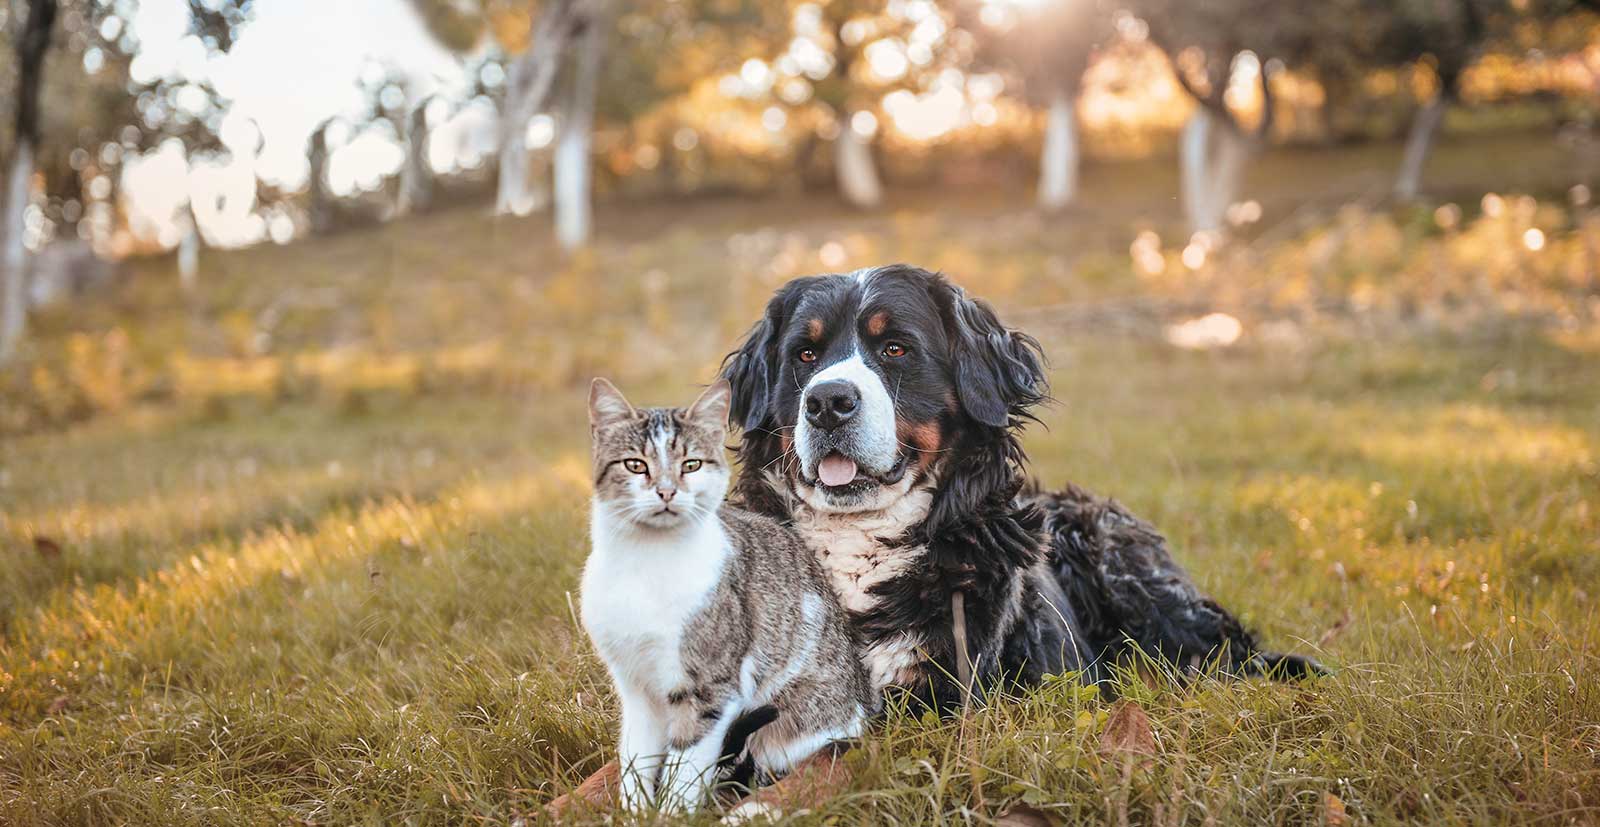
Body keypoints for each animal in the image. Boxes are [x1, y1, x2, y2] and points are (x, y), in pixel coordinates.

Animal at [582, 375, 876, 812]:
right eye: (636, 464)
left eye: (691, 465)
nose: (666, 492)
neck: (645, 560)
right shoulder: (635, 687)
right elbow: (635, 760)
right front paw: (634, 813)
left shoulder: (711, 688)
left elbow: (684, 769)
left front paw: (671, 815)